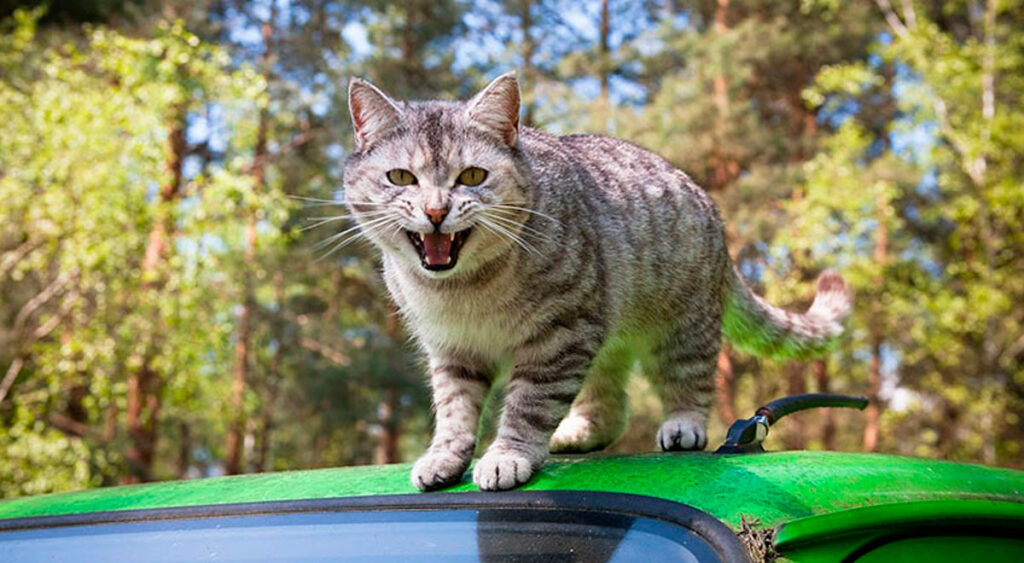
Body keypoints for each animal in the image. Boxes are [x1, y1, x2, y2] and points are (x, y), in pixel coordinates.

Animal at [339, 71, 851, 495]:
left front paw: (507, 455)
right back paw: (577, 433)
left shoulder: (559, 335)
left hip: (682, 325)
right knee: (609, 406)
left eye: (472, 176)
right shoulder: (453, 350)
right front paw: (444, 455)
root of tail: (709, 204)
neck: (462, 289)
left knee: (691, 377)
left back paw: (683, 423)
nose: (436, 211)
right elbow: (454, 409)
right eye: (401, 177)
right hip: (606, 337)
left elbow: (528, 404)